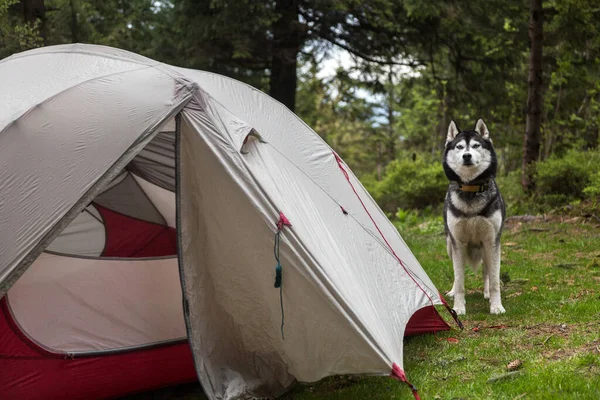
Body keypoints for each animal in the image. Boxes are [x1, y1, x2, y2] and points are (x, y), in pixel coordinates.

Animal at [440, 119, 506, 316]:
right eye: (459, 147)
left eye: (476, 145)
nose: (467, 156)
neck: (471, 188)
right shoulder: (458, 243)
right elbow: (460, 279)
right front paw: (458, 307)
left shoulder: (492, 241)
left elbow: (494, 279)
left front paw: (496, 306)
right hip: (450, 245)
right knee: (457, 273)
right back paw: (453, 291)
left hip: (486, 249)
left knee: (487, 272)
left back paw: (486, 293)